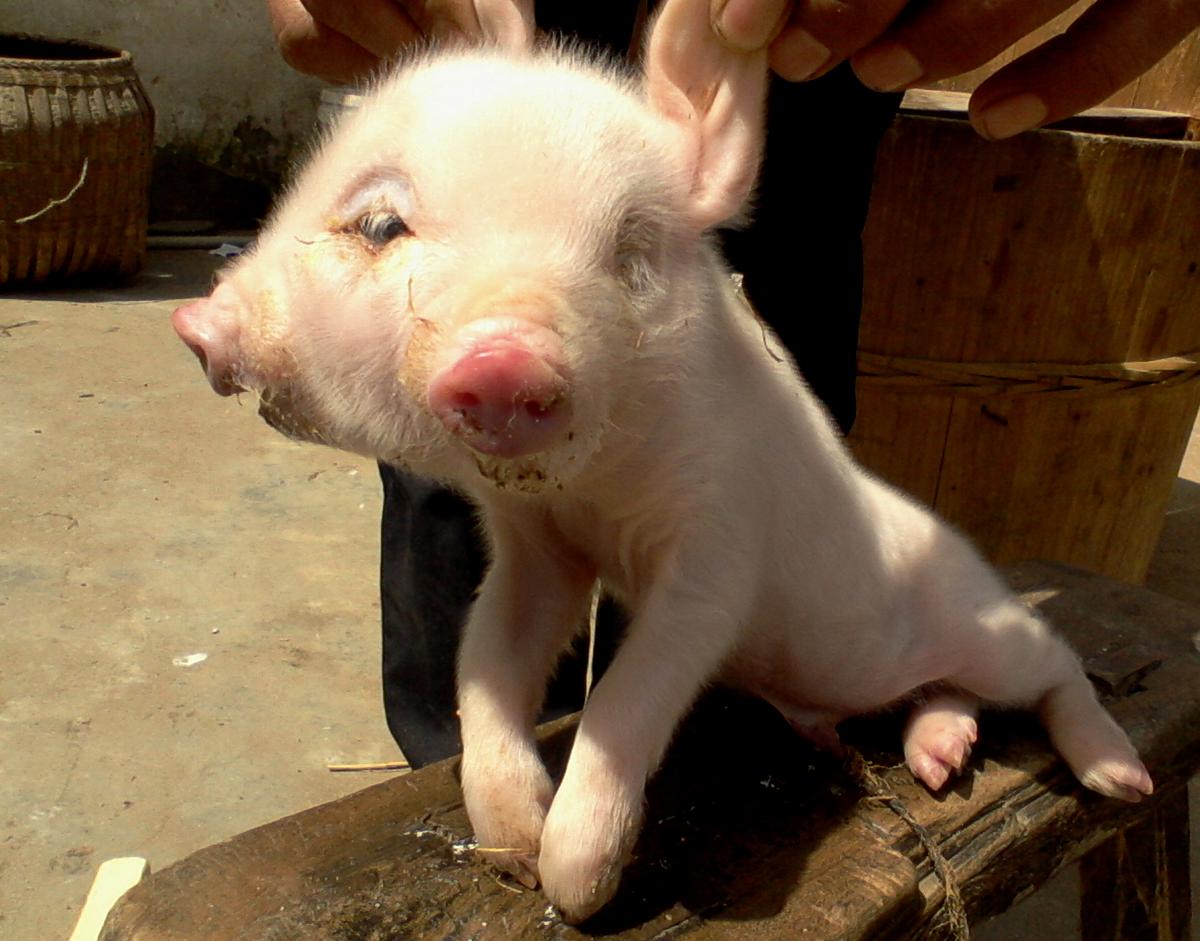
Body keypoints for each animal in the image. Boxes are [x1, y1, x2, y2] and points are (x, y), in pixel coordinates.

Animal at [172, 0, 1152, 922]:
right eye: (381, 223)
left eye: (630, 248)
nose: (503, 359)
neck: (595, 494)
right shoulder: (537, 551)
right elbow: (485, 662)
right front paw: (515, 848)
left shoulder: (719, 550)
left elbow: (632, 689)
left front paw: (576, 887)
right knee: (940, 698)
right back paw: (935, 760)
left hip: (983, 624)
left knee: (1056, 662)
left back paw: (1119, 775)